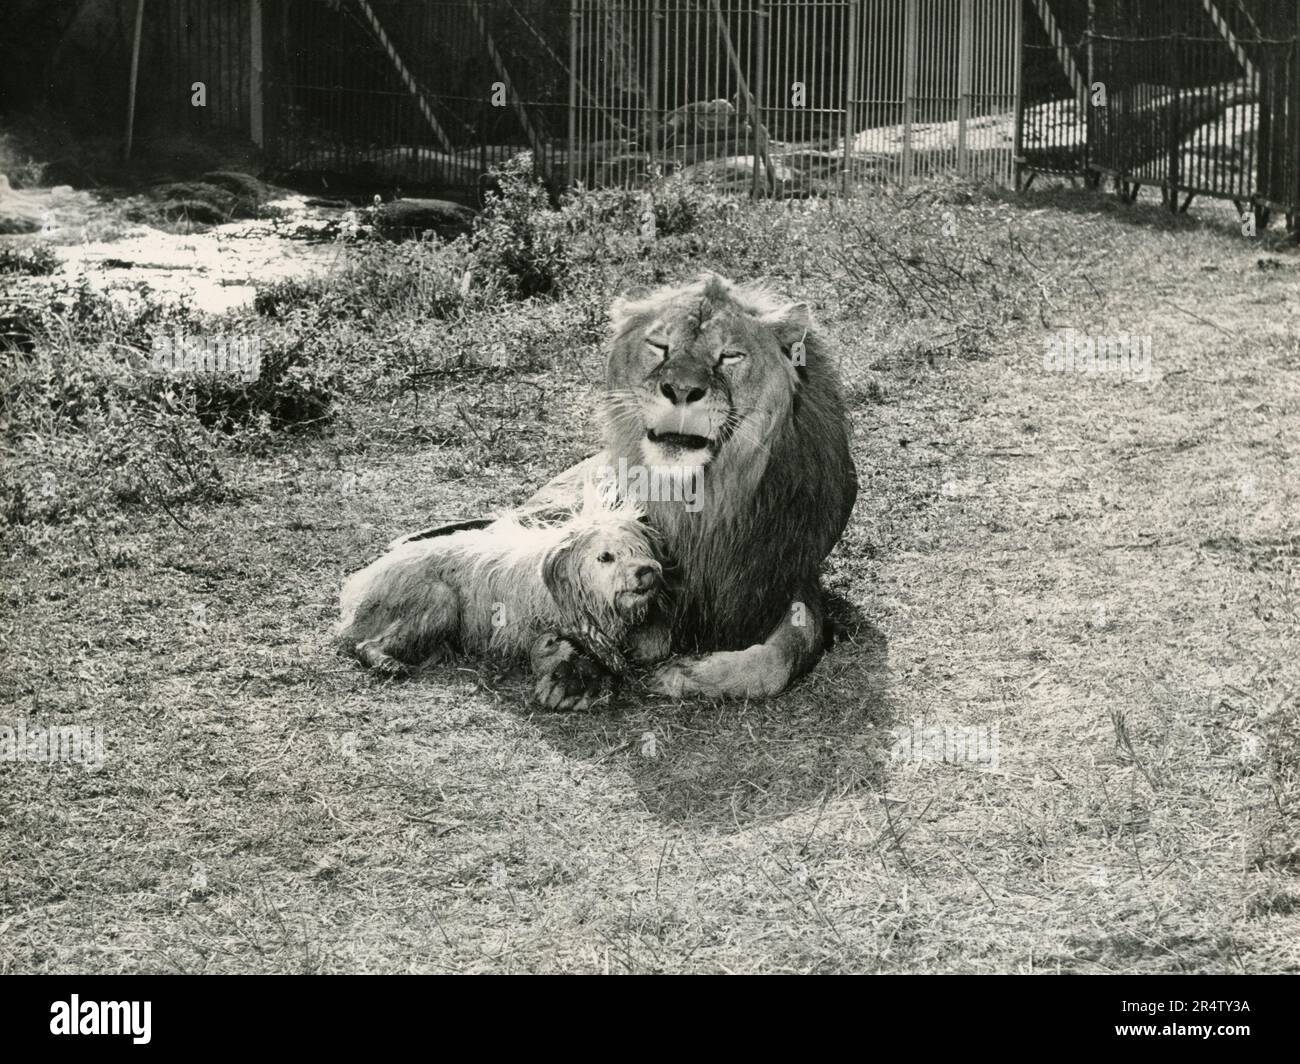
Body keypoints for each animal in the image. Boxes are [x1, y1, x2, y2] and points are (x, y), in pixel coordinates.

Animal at [522, 273, 857, 702]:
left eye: (729, 356)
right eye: (659, 346)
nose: (680, 391)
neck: (703, 498)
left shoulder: (792, 577)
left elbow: (782, 656)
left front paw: (684, 673)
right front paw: (576, 667)